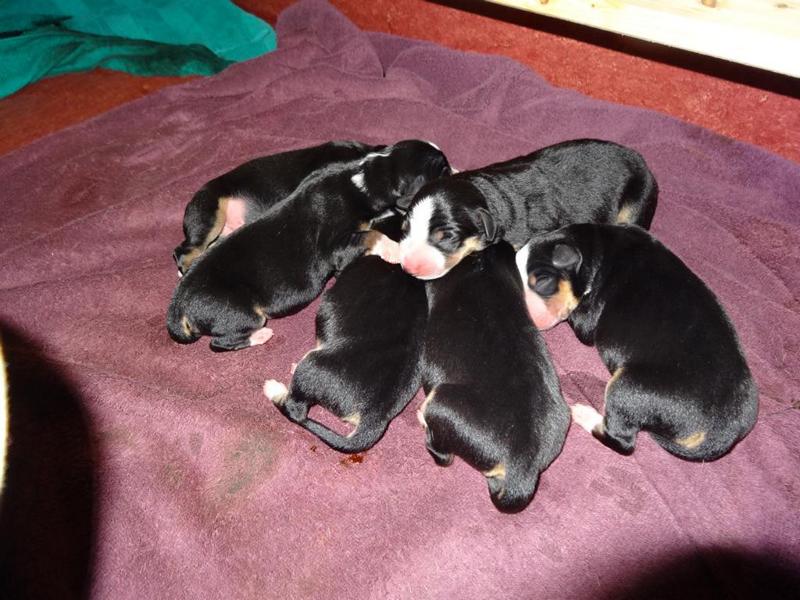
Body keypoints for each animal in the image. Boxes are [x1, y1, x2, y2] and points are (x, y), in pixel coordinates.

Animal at [396, 139, 658, 280]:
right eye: (405, 229)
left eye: (447, 237)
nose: (408, 268)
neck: (486, 193)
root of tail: (645, 165)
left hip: (637, 201)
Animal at [517, 223, 758, 461]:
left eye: (543, 282)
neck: (598, 245)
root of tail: (721, 434)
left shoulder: (588, 319)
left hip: (627, 387)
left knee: (622, 441)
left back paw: (584, 414)